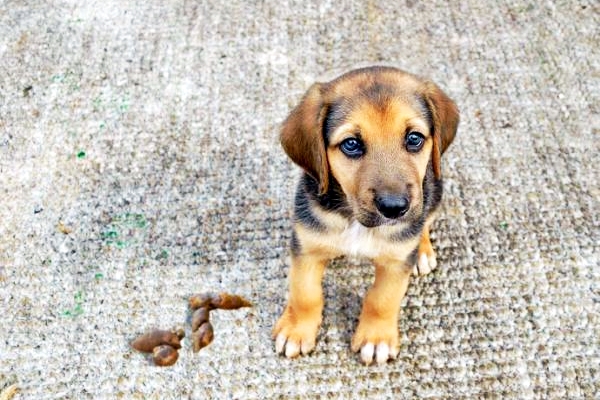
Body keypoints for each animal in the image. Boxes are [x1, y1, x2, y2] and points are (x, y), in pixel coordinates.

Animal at [274, 66, 460, 366]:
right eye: (351, 144)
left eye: (414, 139)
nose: (394, 208)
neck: (355, 221)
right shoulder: (306, 247)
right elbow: (305, 294)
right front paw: (296, 330)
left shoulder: (396, 262)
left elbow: (382, 299)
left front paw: (376, 338)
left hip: (434, 192)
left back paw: (422, 252)